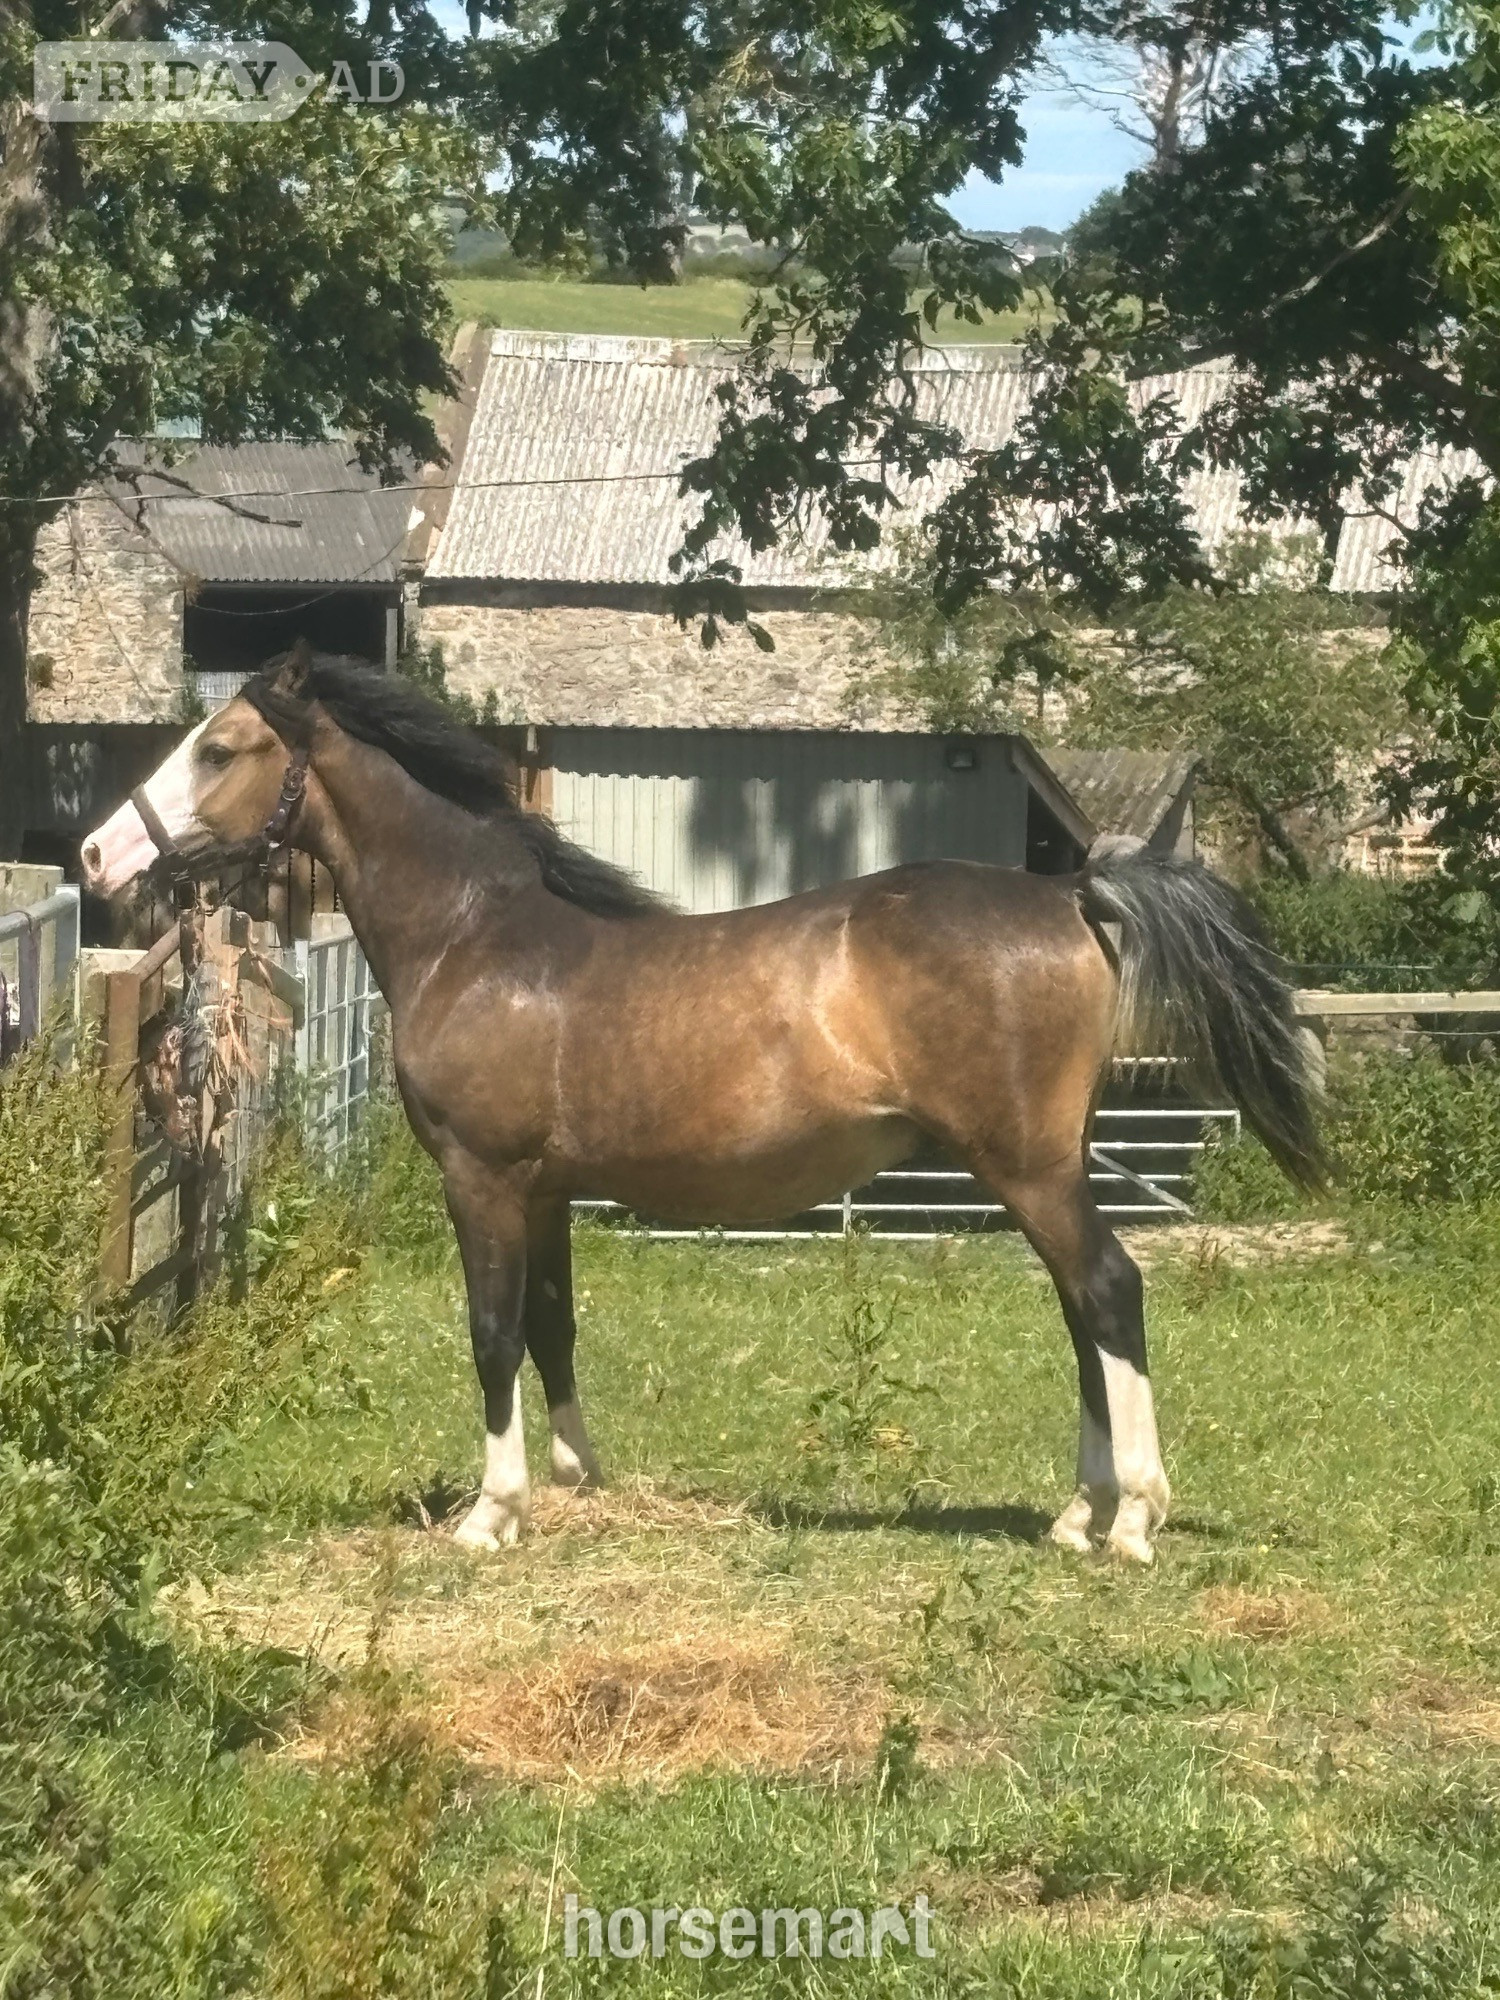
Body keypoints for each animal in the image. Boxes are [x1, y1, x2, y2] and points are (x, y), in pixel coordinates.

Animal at [81, 644, 1324, 1563]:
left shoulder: (482, 1178)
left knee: (1109, 1292)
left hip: (1031, 1166)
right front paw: (579, 1478)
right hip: (1042, 1168)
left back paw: (1133, 1516)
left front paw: (492, 1511)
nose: (97, 851)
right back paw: (1076, 1511)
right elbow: (553, 1324)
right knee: (1081, 1310)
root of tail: (1073, 894)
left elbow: (492, 1332)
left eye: (221, 746)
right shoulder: (545, 1190)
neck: (478, 939)